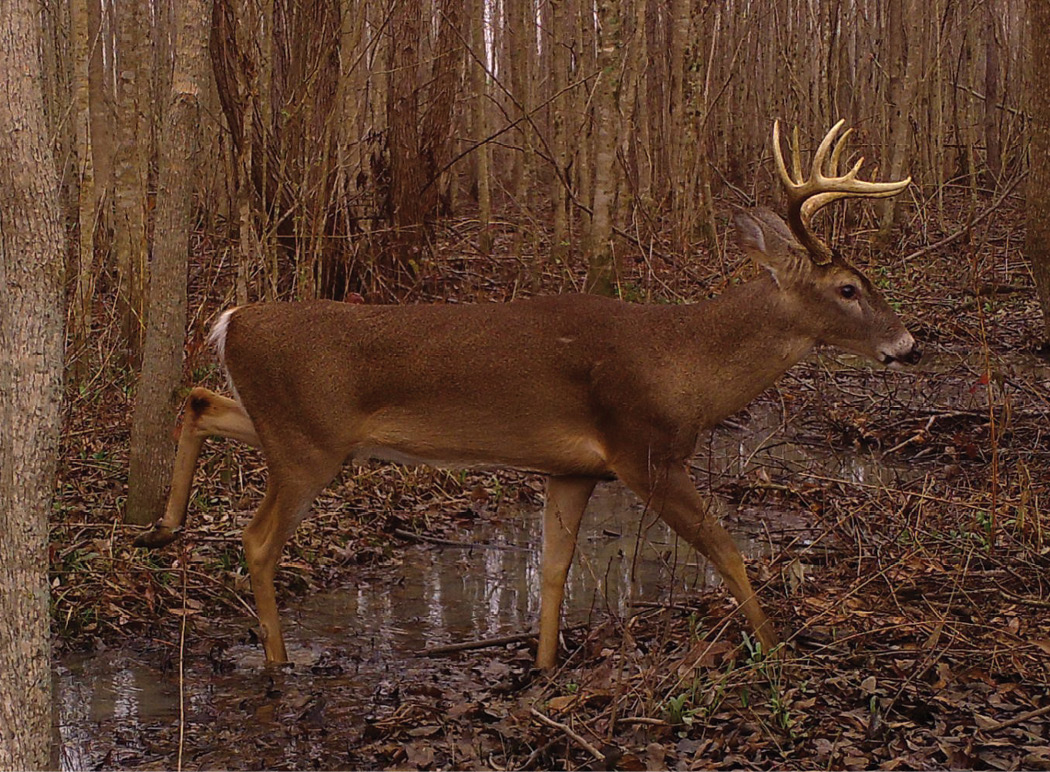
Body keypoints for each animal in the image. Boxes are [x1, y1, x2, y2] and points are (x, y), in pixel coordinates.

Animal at [134, 120, 920, 668]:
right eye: (849, 288)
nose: (908, 344)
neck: (684, 363)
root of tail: (235, 320)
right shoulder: (644, 451)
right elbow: (726, 550)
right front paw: (776, 647)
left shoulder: (572, 468)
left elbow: (554, 571)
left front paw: (542, 667)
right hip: (309, 445)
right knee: (257, 539)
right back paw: (277, 661)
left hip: (290, 427)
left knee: (200, 401)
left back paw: (165, 526)